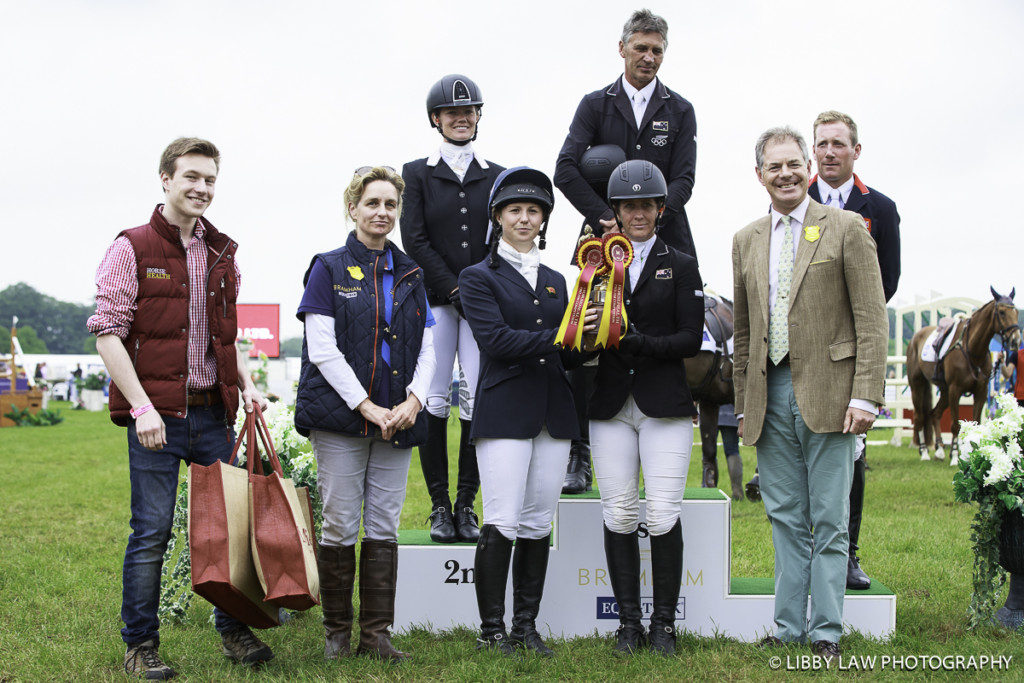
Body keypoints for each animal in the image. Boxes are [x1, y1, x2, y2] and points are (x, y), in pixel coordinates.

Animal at [909, 286, 1011, 466]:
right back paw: (924, 452)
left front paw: (975, 454)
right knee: (920, 417)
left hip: (944, 391)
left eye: (1016, 311)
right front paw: (956, 456)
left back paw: (940, 450)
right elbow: (955, 425)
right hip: (918, 385)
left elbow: (976, 423)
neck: (972, 351)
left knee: (935, 413)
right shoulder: (955, 390)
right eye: (1002, 312)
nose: (1015, 337)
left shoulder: (980, 392)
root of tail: (917, 336)